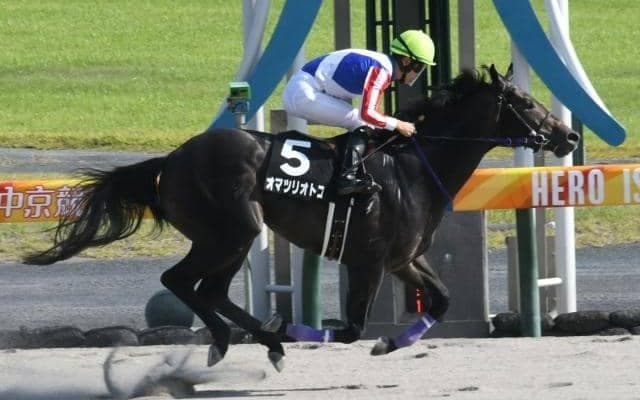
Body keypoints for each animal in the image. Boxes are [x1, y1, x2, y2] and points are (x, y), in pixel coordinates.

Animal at [25, 65, 579, 372]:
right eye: (525, 101)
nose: (569, 137)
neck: (414, 167)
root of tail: (172, 160)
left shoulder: (403, 259)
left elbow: (440, 301)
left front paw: (391, 343)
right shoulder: (368, 261)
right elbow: (351, 328)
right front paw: (311, 330)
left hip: (226, 237)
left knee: (205, 289)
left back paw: (242, 340)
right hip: (234, 230)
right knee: (184, 282)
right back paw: (266, 336)